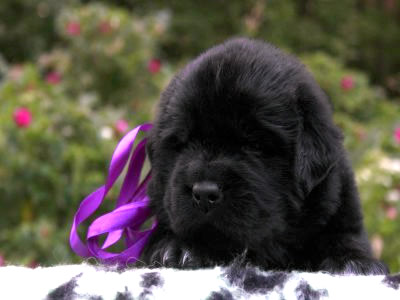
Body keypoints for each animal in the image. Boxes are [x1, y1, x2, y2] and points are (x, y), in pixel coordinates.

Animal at [141, 37, 388, 274]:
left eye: (255, 145)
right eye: (184, 143)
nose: (204, 193)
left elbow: (345, 237)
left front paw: (354, 262)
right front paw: (180, 249)